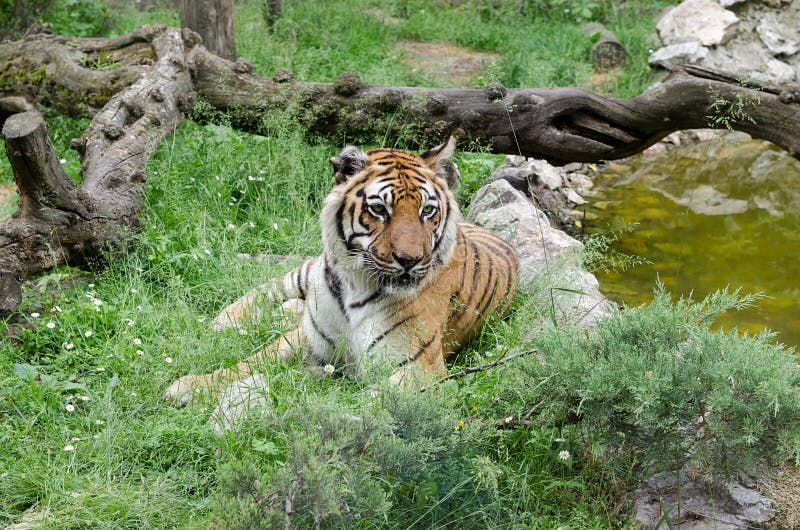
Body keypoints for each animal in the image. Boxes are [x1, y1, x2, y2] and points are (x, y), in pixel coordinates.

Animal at [164, 137, 520, 404]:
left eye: (427, 211)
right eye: (379, 209)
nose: (409, 259)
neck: (354, 284)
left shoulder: (420, 370)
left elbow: (362, 405)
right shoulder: (307, 338)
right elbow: (251, 360)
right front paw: (189, 386)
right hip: (307, 271)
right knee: (270, 287)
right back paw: (224, 321)